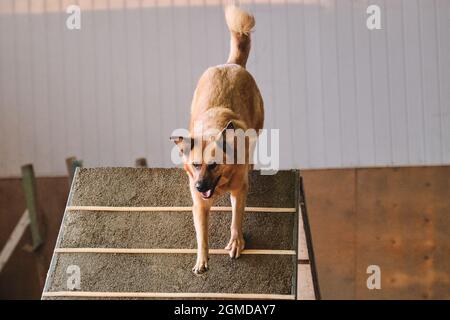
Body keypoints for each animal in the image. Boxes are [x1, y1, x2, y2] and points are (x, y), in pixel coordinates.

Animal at [171, 5, 264, 274]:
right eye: (195, 165)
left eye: (213, 165)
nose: (201, 187)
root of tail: (230, 64)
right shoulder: (199, 205)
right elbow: (201, 234)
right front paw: (201, 260)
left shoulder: (239, 190)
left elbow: (236, 218)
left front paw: (236, 242)